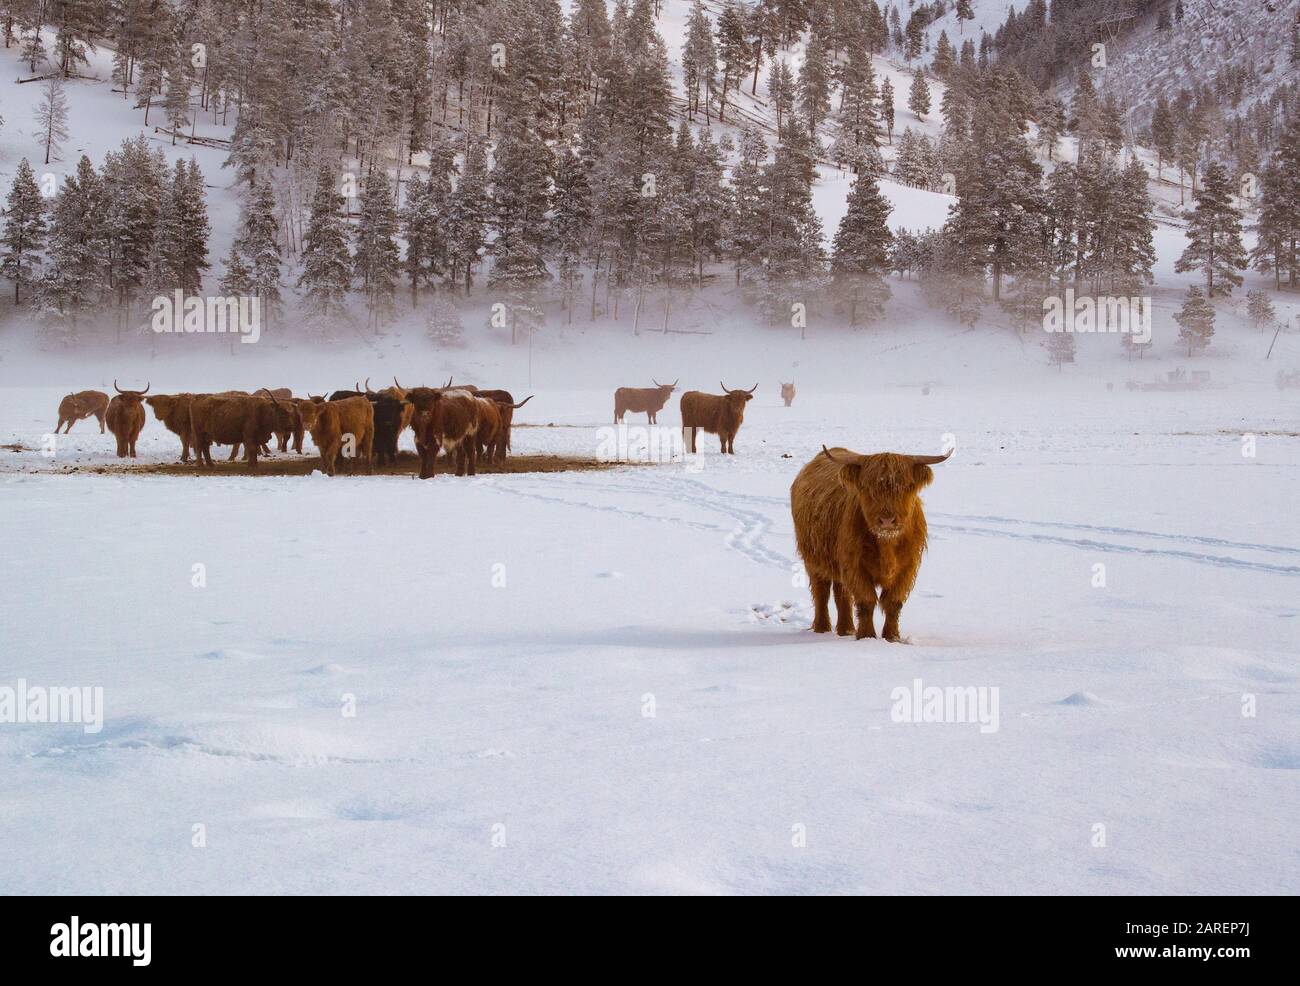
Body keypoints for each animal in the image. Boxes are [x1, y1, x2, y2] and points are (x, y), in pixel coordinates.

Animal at [785, 444, 951, 645]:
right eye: (866, 487)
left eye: (907, 486)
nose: (887, 521)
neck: (887, 544)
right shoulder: (855, 565)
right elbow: (866, 600)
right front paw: (866, 636)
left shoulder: (907, 568)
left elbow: (893, 602)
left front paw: (892, 637)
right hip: (813, 558)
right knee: (821, 592)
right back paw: (822, 628)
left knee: (841, 593)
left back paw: (846, 629)